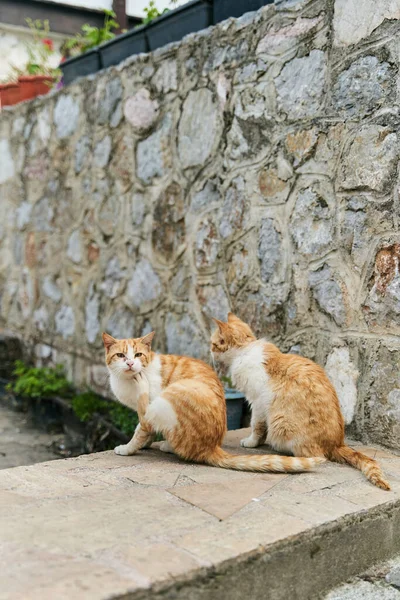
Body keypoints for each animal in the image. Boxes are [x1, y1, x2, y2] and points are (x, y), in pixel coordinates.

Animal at [102, 328, 324, 474]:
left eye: (138, 354)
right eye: (120, 355)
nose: (130, 363)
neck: (126, 381)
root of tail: (211, 447)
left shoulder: (151, 407)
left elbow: (141, 429)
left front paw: (128, 448)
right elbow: (144, 430)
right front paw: (145, 444)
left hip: (171, 395)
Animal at [211, 312, 390, 490]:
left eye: (213, 344)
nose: (210, 351)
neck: (244, 351)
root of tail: (337, 443)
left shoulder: (258, 403)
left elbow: (257, 426)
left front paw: (252, 442)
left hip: (281, 422)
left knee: (314, 455)